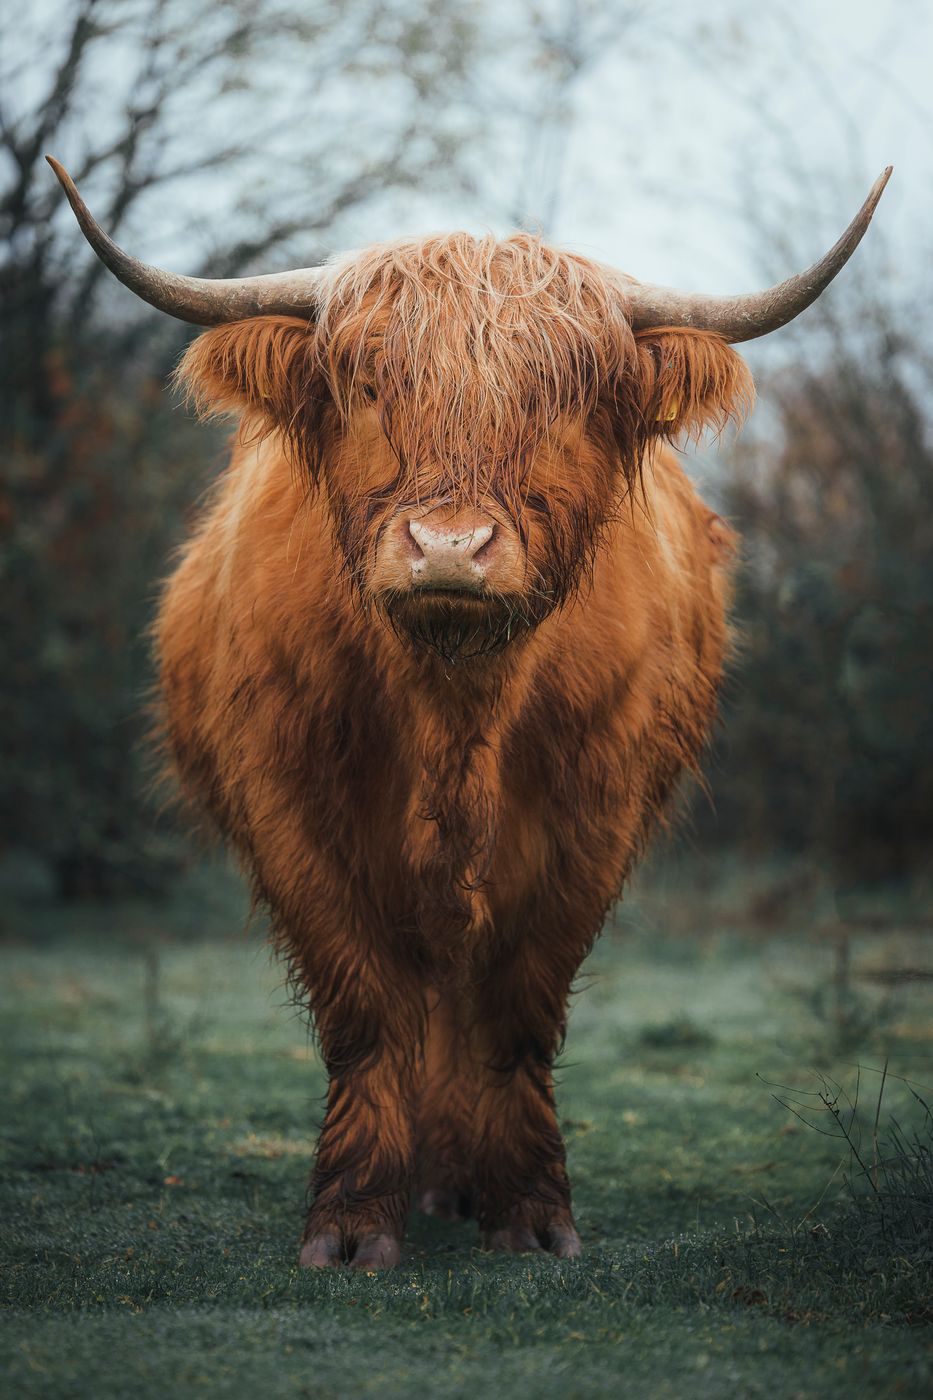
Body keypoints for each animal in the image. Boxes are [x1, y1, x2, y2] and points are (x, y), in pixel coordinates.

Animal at [50, 158, 890, 1269]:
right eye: (368, 386)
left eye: (562, 398)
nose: (449, 547)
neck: (454, 709)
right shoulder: (292, 810)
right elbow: (365, 1006)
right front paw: (354, 1220)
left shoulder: (591, 821)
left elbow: (516, 1006)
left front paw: (528, 1211)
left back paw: (452, 1176)